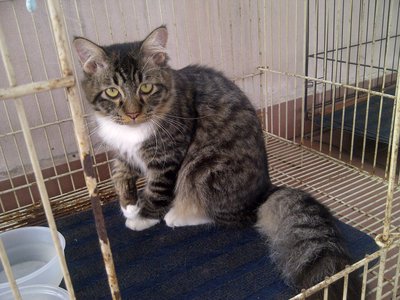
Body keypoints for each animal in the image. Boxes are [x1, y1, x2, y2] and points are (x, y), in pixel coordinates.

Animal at [73, 26, 360, 300]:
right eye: (113, 92)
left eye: (146, 88)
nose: (133, 113)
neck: (132, 130)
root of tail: (264, 191)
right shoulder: (123, 154)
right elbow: (120, 175)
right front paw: (129, 205)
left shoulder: (167, 157)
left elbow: (156, 190)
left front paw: (142, 217)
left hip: (203, 169)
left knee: (222, 215)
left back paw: (178, 215)